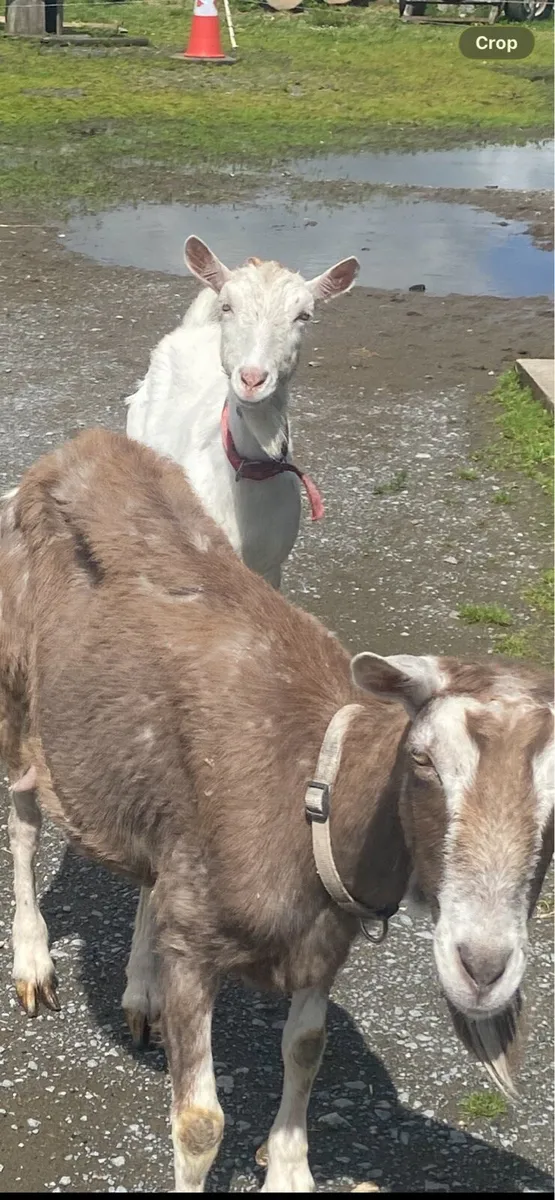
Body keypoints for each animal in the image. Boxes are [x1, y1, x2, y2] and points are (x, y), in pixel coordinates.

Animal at [1, 429, 553, 1193]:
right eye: (422, 760)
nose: (483, 966)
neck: (309, 797)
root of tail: (76, 450)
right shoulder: (195, 946)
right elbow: (199, 1126)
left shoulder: (322, 940)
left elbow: (306, 1046)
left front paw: (288, 1167)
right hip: (18, 701)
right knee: (24, 823)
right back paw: (32, 962)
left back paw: (139, 991)